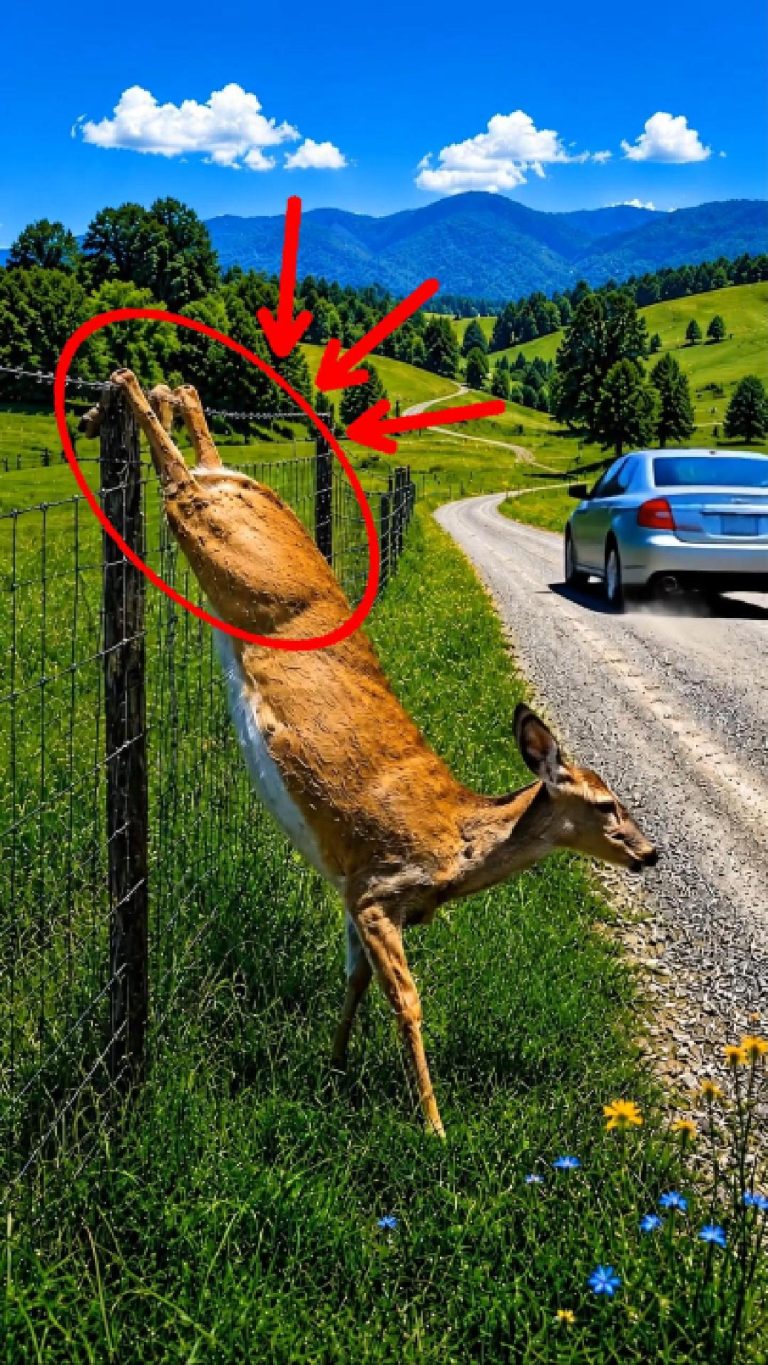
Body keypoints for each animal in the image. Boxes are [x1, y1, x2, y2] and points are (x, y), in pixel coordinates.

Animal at [102, 368, 658, 1139]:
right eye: (606, 803)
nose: (650, 853)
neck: (458, 844)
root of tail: (245, 484)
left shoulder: (350, 894)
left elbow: (354, 982)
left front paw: (332, 1066)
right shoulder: (377, 886)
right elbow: (408, 1000)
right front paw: (433, 1125)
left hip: (225, 516)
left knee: (200, 460)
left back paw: (174, 393)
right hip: (216, 536)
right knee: (181, 482)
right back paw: (136, 387)